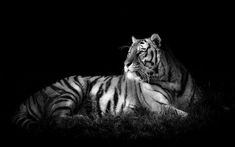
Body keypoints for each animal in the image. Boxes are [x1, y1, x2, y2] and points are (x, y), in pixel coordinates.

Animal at [12, 33, 200, 129]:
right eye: (128, 52)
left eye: (140, 52)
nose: (125, 64)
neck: (170, 80)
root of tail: (29, 98)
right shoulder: (157, 106)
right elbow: (183, 115)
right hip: (72, 88)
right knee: (54, 120)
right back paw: (85, 120)